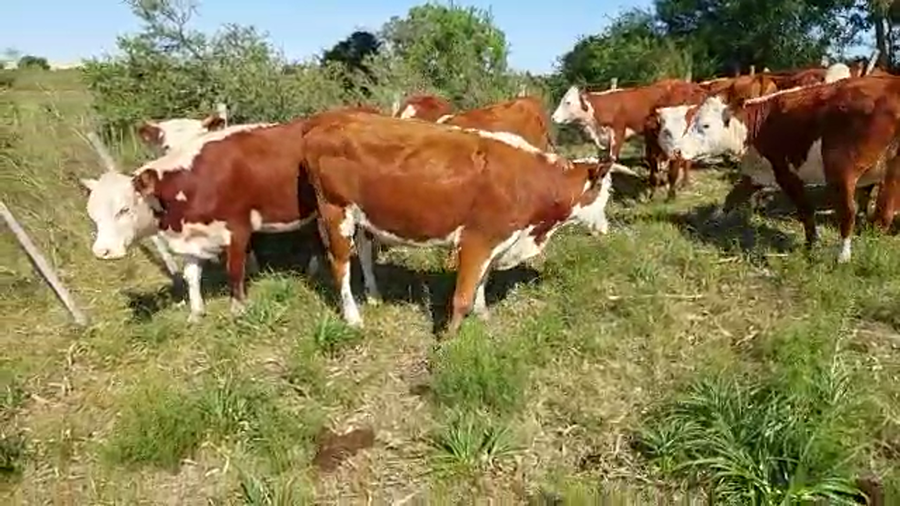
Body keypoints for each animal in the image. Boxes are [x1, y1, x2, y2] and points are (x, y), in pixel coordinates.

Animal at [82, 121, 321, 322]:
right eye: (93, 215)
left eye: (124, 209)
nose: (102, 251)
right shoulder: (190, 238)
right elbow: (191, 276)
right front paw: (196, 312)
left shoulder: (237, 229)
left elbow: (234, 271)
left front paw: (238, 310)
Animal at [297, 109, 613, 336]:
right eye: (604, 192)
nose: (606, 228)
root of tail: (325, 123)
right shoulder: (477, 240)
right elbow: (462, 296)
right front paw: (449, 340)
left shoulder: (497, 242)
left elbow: (482, 283)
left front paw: (483, 315)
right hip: (335, 212)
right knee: (340, 265)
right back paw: (353, 317)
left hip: (364, 217)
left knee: (363, 253)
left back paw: (374, 296)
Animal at [657, 75, 900, 263]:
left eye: (705, 125)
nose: (678, 151)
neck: (759, 125)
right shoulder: (758, 172)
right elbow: (731, 198)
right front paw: (711, 220)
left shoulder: (784, 171)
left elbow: (805, 210)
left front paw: (812, 243)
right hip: (891, 173)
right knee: (884, 213)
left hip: (841, 170)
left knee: (848, 212)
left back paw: (843, 255)